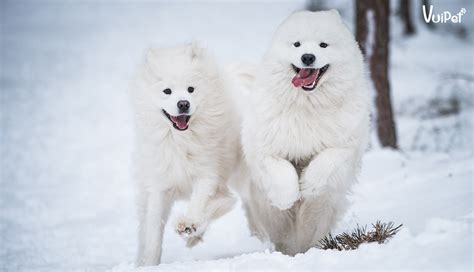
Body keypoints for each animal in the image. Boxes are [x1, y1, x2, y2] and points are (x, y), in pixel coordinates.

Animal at [130, 44, 239, 266]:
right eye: (167, 91)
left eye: (191, 89)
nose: (183, 104)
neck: (180, 140)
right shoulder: (159, 187)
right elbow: (153, 231)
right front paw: (149, 264)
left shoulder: (207, 173)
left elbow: (200, 201)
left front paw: (189, 224)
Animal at [235, 10, 372, 256]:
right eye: (296, 44)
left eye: (323, 45)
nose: (308, 57)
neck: (307, 105)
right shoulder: (265, 149)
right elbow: (281, 171)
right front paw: (288, 196)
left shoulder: (346, 145)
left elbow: (326, 161)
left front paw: (309, 184)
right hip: (268, 212)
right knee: (282, 235)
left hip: (324, 208)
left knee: (310, 231)